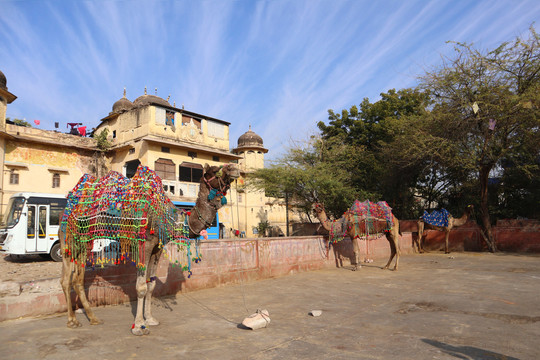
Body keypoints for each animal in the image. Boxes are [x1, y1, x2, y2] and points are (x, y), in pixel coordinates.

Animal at [59, 163, 238, 334]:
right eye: (215, 171)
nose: (235, 168)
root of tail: (66, 208)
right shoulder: (143, 245)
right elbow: (141, 287)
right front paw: (139, 326)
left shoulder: (157, 248)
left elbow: (151, 285)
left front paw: (150, 319)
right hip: (69, 237)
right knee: (66, 279)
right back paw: (72, 321)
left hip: (85, 241)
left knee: (78, 280)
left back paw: (93, 318)